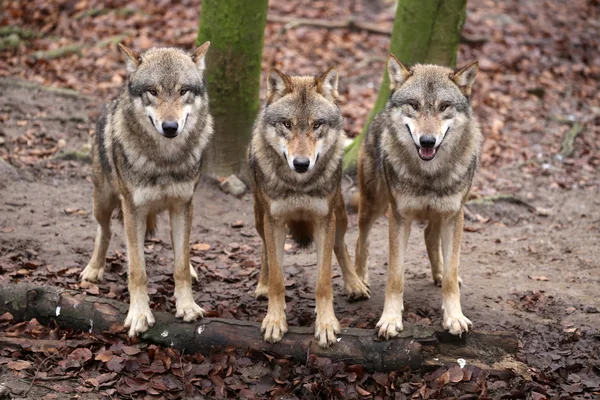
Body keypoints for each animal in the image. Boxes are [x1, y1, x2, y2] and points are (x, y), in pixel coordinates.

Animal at [80, 42, 213, 338]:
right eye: (153, 91)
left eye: (183, 91)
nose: (170, 127)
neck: (164, 161)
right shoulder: (133, 209)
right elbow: (137, 271)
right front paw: (139, 315)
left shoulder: (183, 205)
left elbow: (180, 265)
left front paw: (187, 306)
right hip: (103, 202)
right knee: (104, 231)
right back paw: (93, 269)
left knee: (179, 248)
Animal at [248, 68, 370, 346]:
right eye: (287, 124)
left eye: (317, 125)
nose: (301, 163)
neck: (299, 185)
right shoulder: (274, 221)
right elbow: (278, 279)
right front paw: (274, 321)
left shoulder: (324, 221)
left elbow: (323, 282)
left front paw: (326, 325)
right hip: (260, 217)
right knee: (264, 250)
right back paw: (262, 284)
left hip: (340, 215)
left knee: (341, 247)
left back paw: (355, 284)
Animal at [356, 54, 482, 338]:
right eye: (414, 105)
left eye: (444, 106)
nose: (427, 141)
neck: (429, 174)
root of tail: (378, 114)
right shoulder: (398, 217)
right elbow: (395, 276)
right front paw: (390, 320)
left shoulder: (454, 216)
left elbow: (451, 275)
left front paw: (454, 317)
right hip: (373, 206)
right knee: (360, 240)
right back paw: (358, 282)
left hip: (437, 215)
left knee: (430, 238)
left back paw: (439, 273)